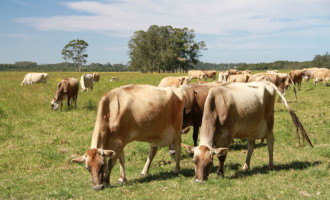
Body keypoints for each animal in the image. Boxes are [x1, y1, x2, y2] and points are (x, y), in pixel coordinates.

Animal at [182, 81, 314, 181]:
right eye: (194, 161)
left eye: (209, 162)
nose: (199, 180)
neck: (217, 105)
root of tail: (266, 82)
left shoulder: (227, 136)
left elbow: (222, 157)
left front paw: (220, 173)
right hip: (251, 127)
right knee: (251, 145)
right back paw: (246, 166)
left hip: (269, 122)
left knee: (270, 142)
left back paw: (270, 165)